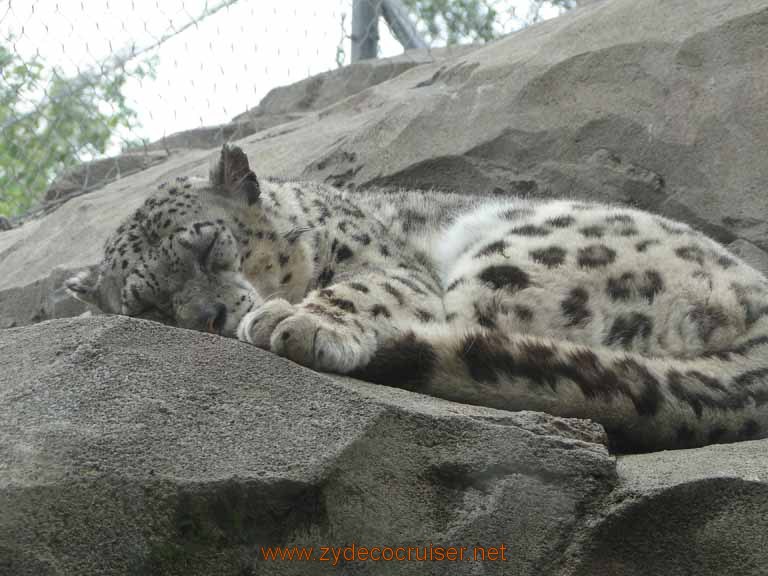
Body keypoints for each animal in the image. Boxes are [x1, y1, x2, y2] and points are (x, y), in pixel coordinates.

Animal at [66, 145, 768, 454]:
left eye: (210, 244)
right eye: (148, 307)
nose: (209, 317)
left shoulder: (396, 271)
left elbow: (370, 289)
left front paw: (298, 321)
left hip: (518, 255)